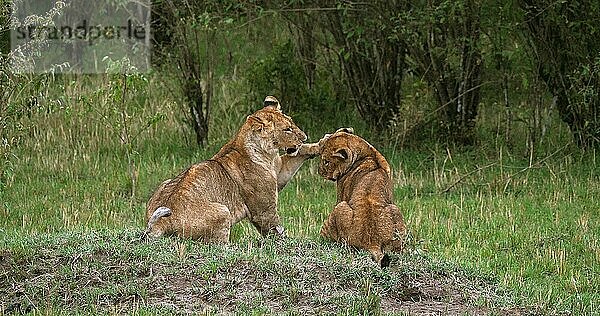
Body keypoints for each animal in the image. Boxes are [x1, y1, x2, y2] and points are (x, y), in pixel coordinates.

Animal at [145, 96, 318, 242]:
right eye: (287, 130)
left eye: (292, 123)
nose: (304, 137)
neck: (267, 154)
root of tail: (162, 222)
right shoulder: (263, 210)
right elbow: (275, 228)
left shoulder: (280, 172)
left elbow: (298, 154)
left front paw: (318, 146)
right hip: (223, 210)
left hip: (165, 184)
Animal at [316, 128, 406, 266]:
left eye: (326, 161)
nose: (319, 170)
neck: (367, 152)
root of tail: (372, 242)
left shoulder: (340, 196)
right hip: (396, 210)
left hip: (339, 207)